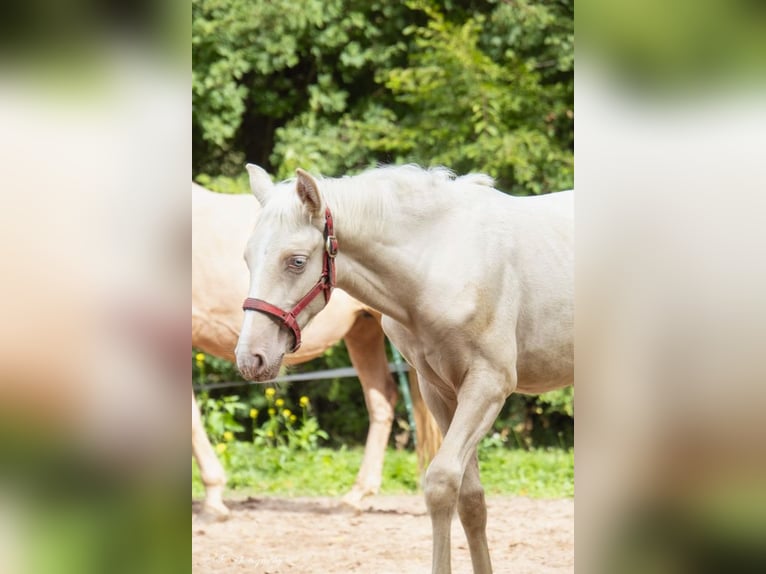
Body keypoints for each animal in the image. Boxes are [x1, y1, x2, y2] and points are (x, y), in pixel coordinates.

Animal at [195, 184, 440, 520]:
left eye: (297, 262)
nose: (249, 359)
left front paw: (213, 497)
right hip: (363, 330)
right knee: (382, 399)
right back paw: (357, 495)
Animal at [237, 166, 572, 574]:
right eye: (248, 257)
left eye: (297, 261)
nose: (250, 358)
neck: (439, 260)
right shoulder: (439, 390)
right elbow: (470, 497)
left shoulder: (489, 384)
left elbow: (441, 483)